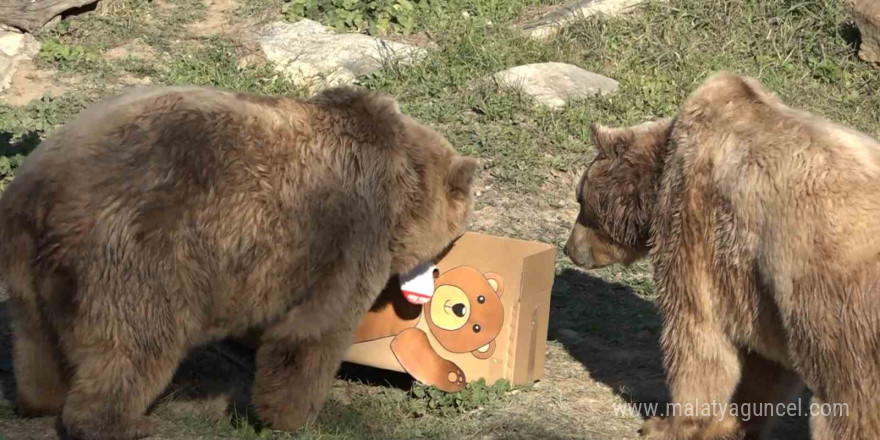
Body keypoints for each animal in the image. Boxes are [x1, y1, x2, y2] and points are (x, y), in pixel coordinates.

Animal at [0, 83, 478, 440]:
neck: (402, 189)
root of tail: (51, 191)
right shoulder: (347, 235)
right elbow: (313, 333)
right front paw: (294, 417)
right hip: (140, 254)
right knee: (134, 344)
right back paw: (123, 423)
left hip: (25, 259)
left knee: (34, 338)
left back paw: (39, 399)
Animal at [564, 72, 880, 440]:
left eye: (580, 199)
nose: (569, 248)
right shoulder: (760, 291)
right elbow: (764, 364)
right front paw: (732, 423)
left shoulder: (696, 220)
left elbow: (697, 329)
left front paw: (666, 423)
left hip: (841, 311)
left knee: (848, 403)